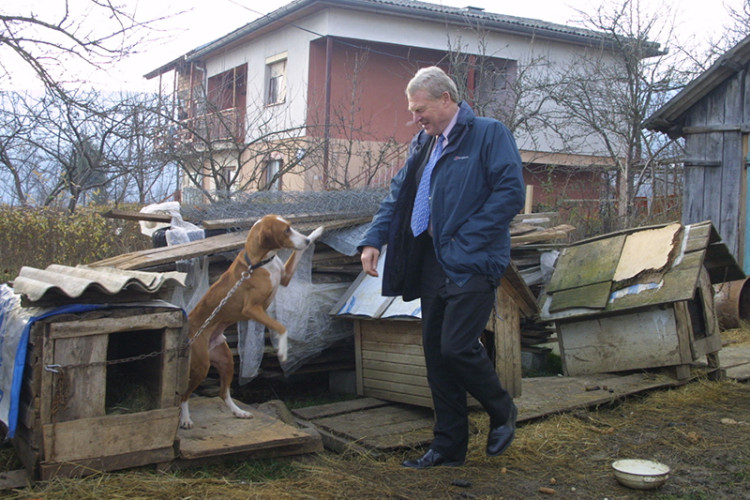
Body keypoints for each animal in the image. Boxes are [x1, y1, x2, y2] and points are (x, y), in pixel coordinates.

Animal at [182, 213, 326, 428]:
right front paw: (283, 351)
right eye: (286, 230)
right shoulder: (251, 309)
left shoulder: (285, 278)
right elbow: (281, 327)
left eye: (291, 226)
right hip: (201, 366)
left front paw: (316, 232)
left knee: (223, 393)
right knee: (184, 394)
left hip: (225, 360)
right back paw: (185, 419)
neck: (262, 262)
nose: (307, 241)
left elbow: (297, 253)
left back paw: (239, 412)